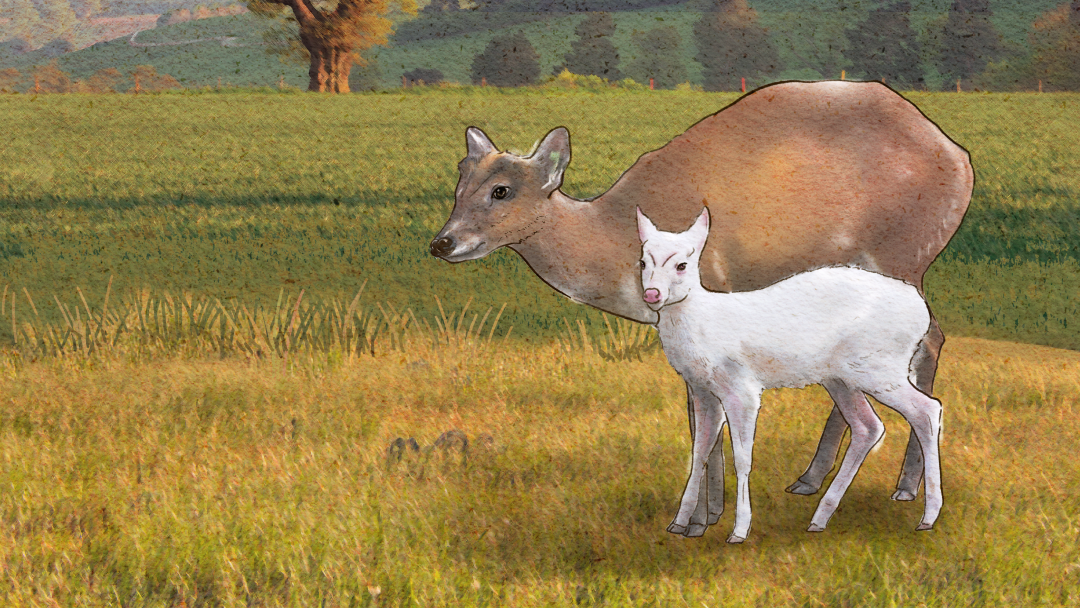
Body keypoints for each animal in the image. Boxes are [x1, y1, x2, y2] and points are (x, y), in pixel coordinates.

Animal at [637, 206, 942, 543]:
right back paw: (820, 518)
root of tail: (922, 310)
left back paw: (927, 516)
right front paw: (679, 523)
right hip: (841, 377)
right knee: (869, 426)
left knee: (928, 409)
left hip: (880, 368)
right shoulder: (702, 390)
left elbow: (742, 458)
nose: (652, 294)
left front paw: (739, 531)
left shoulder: (742, 388)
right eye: (643, 261)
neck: (704, 321)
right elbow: (699, 452)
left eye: (681, 265)